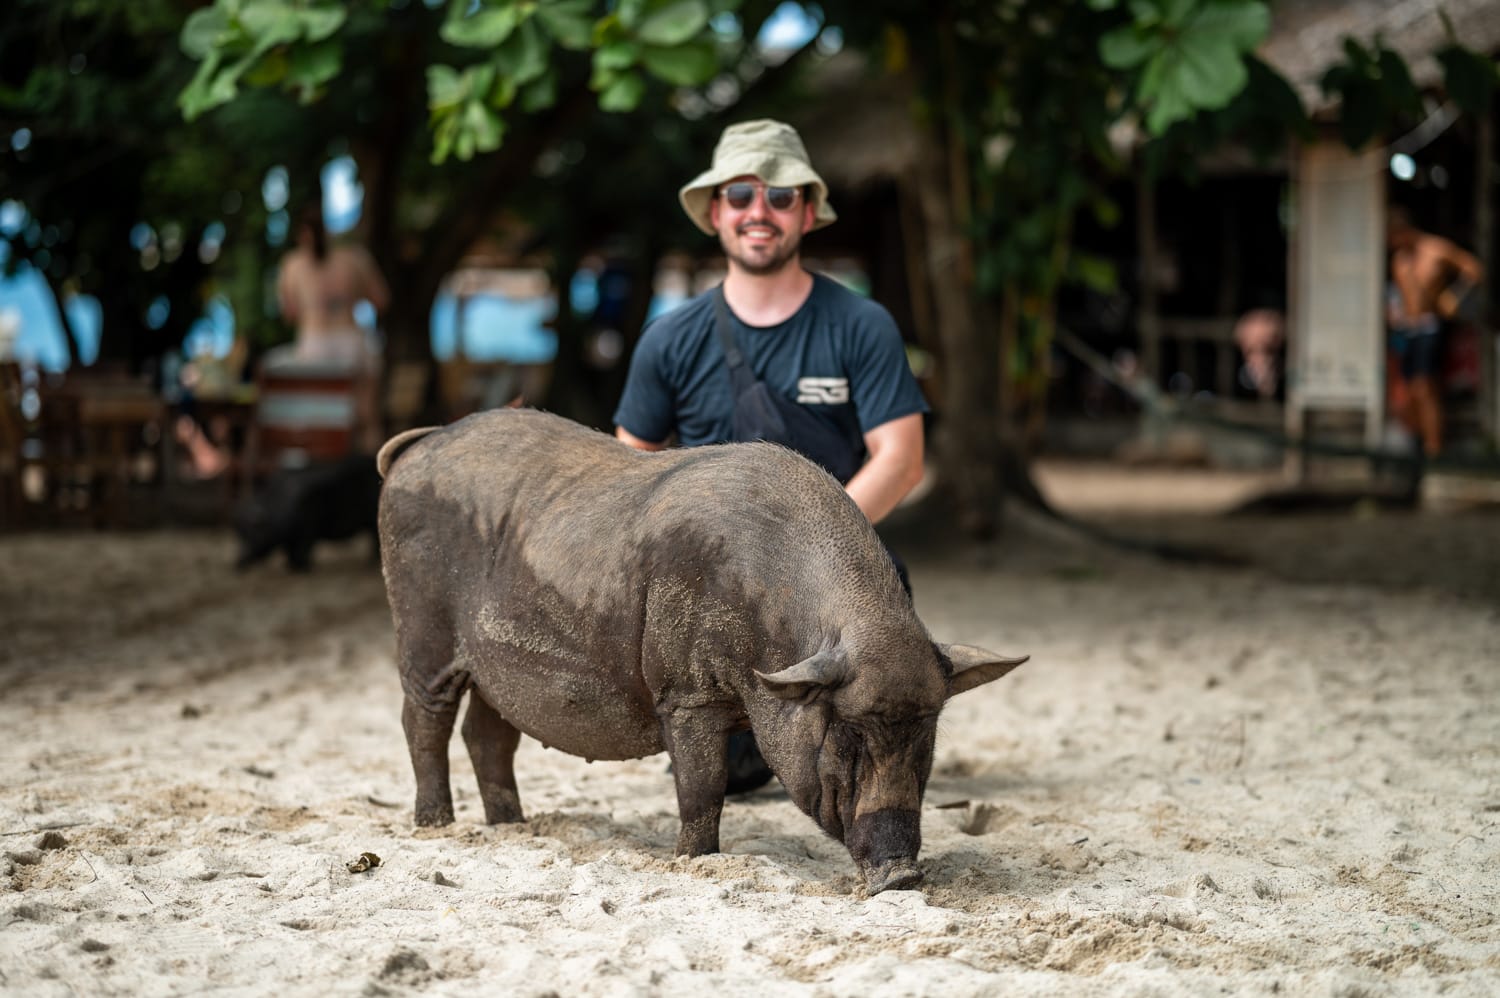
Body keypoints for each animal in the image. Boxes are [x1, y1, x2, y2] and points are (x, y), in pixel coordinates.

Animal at [234, 453, 381, 571]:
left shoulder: (308, 529)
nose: (238, 562)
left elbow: (302, 549)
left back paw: (373, 561)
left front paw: (302, 568)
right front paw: (291, 566)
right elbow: (289, 551)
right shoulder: (291, 537)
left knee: (375, 537)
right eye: (240, 534)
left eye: (252, 534)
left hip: (372, 521)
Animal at [376, 408, 1027, 894]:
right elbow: (703, 785)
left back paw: (513, 826)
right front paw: (695, 861)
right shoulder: (686, 693)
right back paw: (435, 825)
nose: (903, 876)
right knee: (423, 719)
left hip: (499, 670)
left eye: (927, 734)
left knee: (488, 735)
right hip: (420, 627)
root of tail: (421, 442)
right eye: (847, 734)